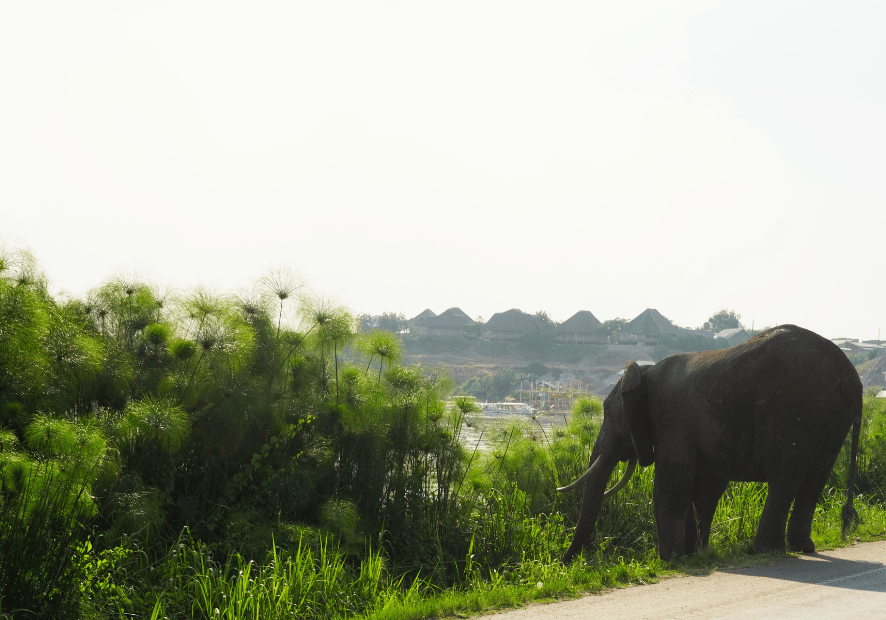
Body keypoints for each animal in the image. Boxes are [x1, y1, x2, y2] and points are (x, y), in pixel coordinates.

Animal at [560, 326, 860, 564]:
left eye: (608, 412)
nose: (565, 563)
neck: (646, 372)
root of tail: (852, 381)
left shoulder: (672, 422)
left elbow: (671, 486)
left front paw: (671, 560)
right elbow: (703, 490)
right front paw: (695, 554)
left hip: (793, 416)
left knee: (784, 481)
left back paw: (766, 552)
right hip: (831, 423)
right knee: (814, 483)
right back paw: (803, 548)